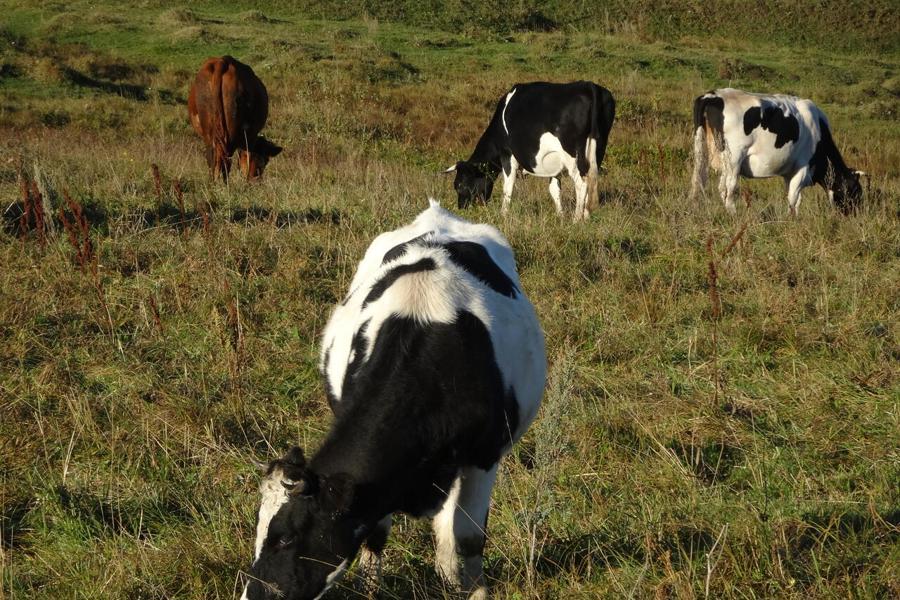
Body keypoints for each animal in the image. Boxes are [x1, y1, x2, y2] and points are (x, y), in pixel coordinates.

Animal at [241, 202, 548, 600]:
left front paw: (475, 591)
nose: (249, 597)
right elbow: (375, 532)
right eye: (259, 531)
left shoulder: (485, 455)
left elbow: (469, 536)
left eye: (285, 537)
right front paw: (371, 588)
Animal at [444, 79, 616, 220]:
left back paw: (576, 219)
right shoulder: (553, 164)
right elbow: (554, 189)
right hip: (598, 148)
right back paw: (586, 216)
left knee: (582, 184)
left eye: (459, 184)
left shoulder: (507, 154)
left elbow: (508, 186)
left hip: (572, 155)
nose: (461, 209)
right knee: (592, 179)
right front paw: (560, 216)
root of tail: (589, 86)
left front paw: (503, 214)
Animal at [688, 86, 864, 213]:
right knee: (728, 188)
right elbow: (793, 197)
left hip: (704, 150)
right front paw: (791, 220)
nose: (854, 214)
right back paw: (733, 214)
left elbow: (794, 198)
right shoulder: (803, 166)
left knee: (700, 182)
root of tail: (712, 96)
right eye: (855, 191)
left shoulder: (790, 172)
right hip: (734, 159)